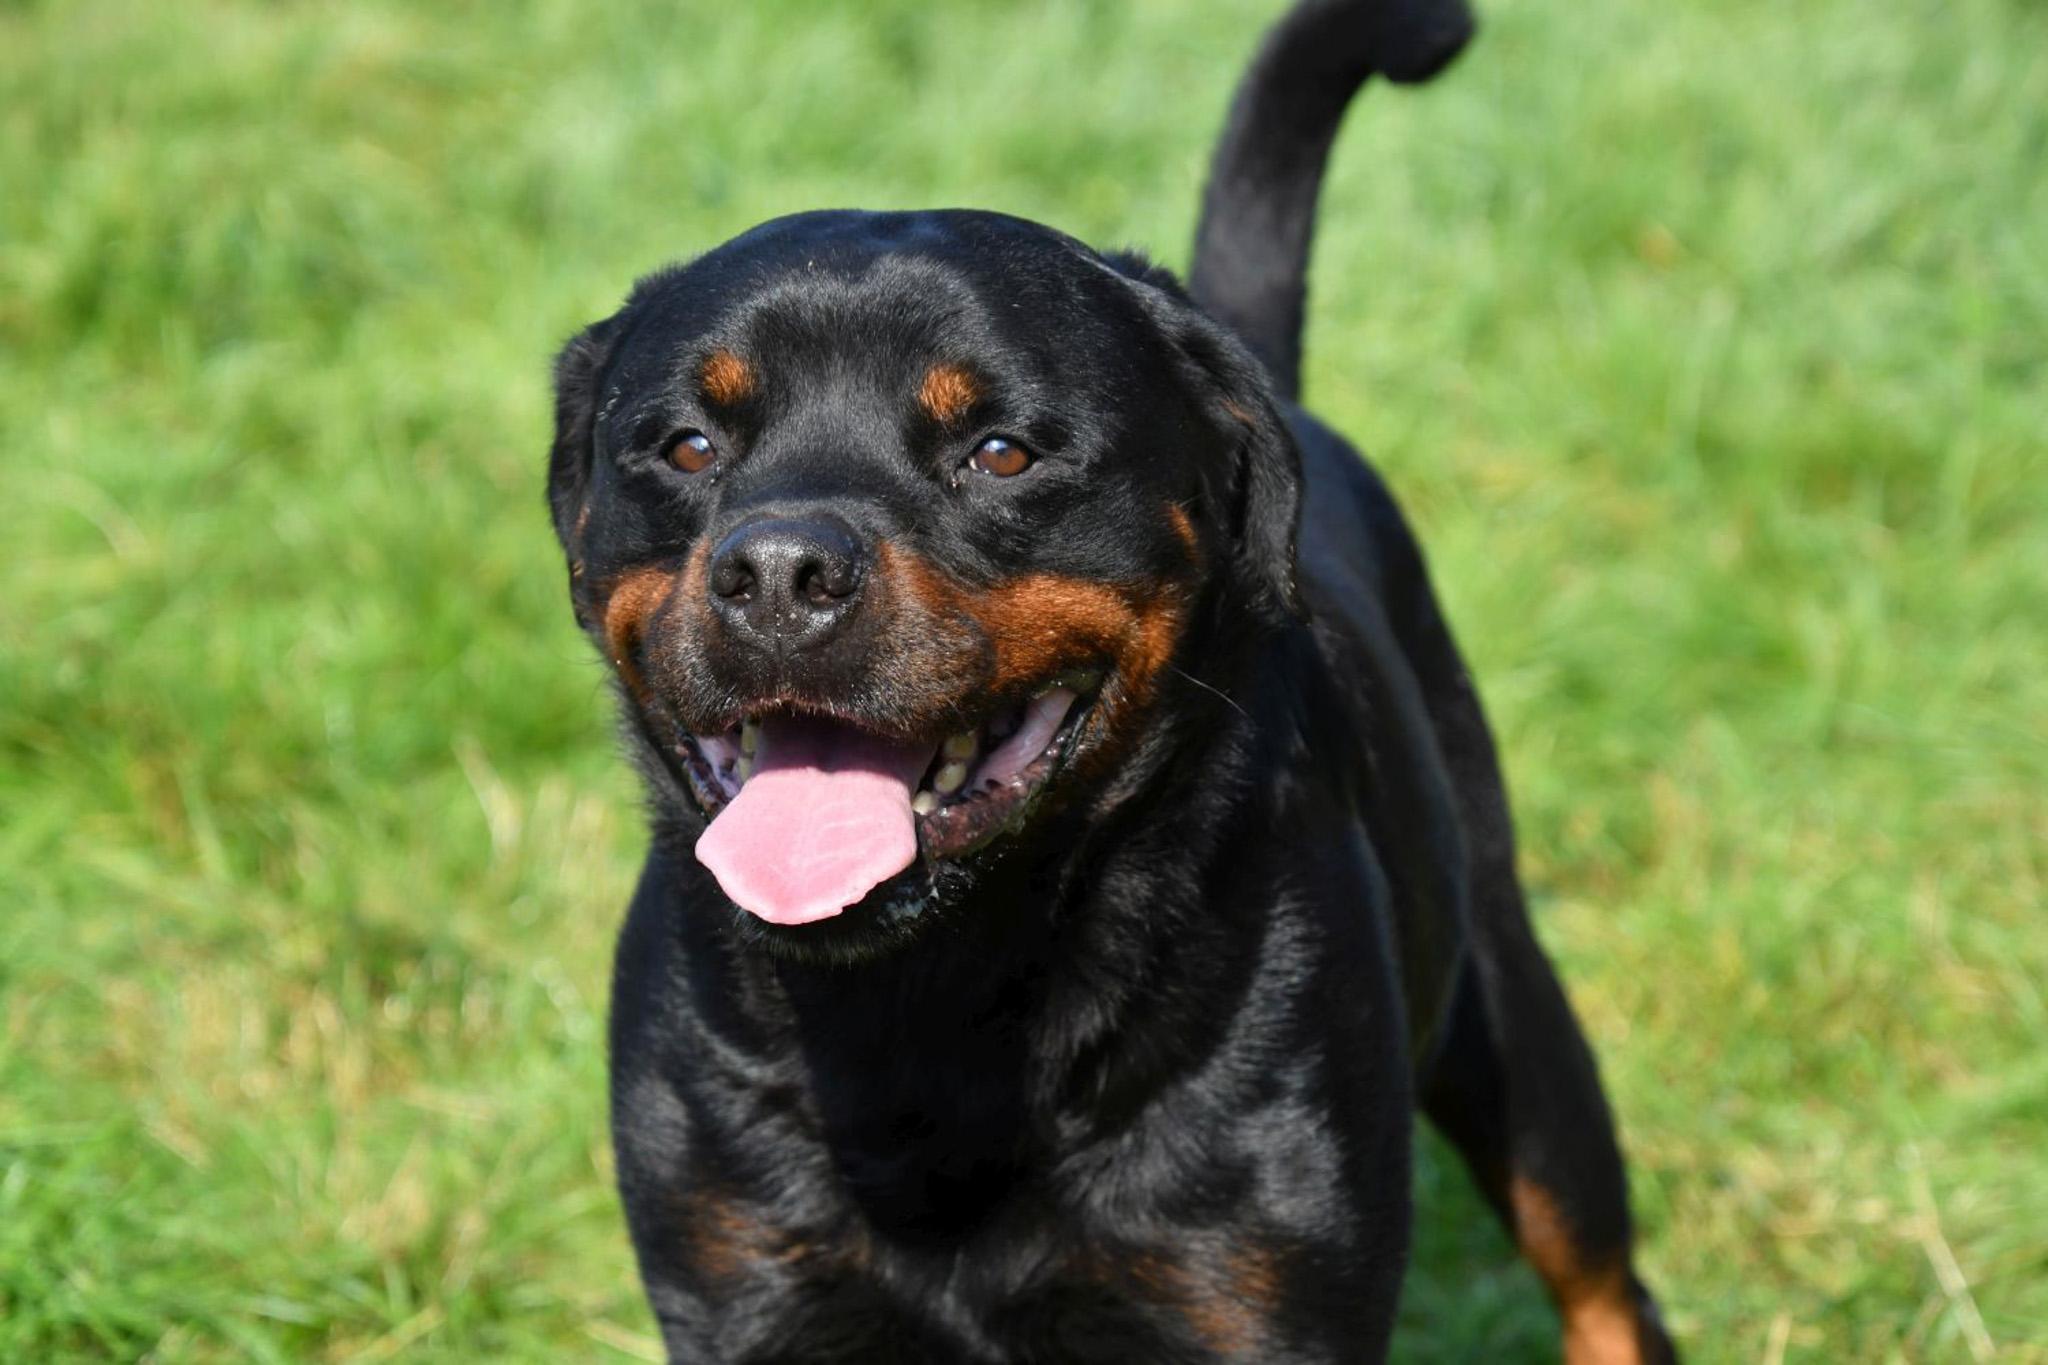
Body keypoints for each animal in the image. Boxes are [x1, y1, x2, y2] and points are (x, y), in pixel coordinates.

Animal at [548, 0, 1679, 1358]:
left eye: (999, 452)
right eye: (685, 445)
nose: (776, 570)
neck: (938, 1002)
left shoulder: (1251, 1293)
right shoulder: (743, 1282)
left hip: (1508, 1006)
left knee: (1600, 1278)